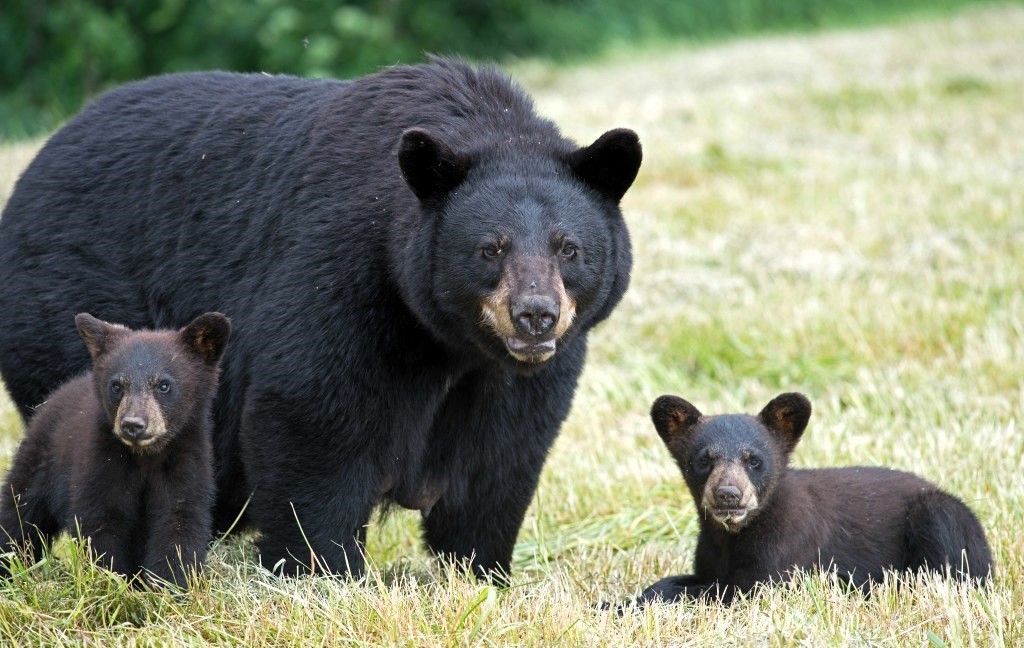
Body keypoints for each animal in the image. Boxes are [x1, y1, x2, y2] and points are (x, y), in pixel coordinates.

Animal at [0, 312, 231, 587]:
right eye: (117, 386)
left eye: (164, 385)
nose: (133, 425)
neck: (146, 458)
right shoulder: (102, 464)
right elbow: (101, 524)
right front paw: (112, 584)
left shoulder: (186, 464)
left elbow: (178, 522)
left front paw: (170, 585)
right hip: (39, 460)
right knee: (19, 513)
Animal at [618, 392, 992, 607]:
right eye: (703, 460)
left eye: (754, 460)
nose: (728, 494)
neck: (732, 535)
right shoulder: (710, 554)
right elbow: (687, 579)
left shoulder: (787, 550)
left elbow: (739, 590)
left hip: (942, 515)